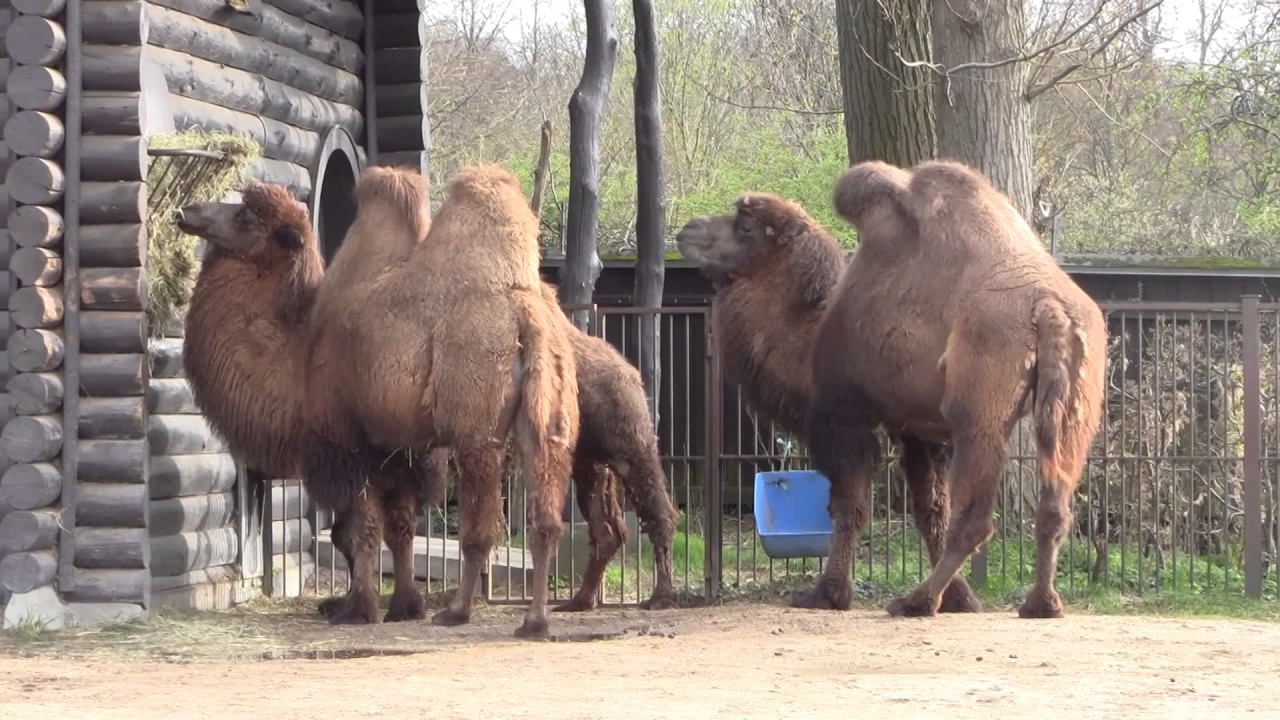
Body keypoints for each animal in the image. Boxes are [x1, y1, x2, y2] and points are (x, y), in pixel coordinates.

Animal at [177, 179, 447, 625]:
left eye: (246, 217)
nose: (188, 210)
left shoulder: (339, 457)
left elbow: (352, 533)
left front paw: (355, 606)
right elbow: (362, 532)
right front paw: (384, 604)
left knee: (374, 528)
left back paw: (360, 609)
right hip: (414, 457)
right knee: (402, 525)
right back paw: (404, 607)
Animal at [301, 164, 580, 638]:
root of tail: (525, 314)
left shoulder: (354, 433)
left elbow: (361, 525)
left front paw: (357, 608)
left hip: (475, 429)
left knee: (478, 529)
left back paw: (457, 611)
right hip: (547, 423)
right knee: (544, 518)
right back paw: (535, 621)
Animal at [676, 191, 982, 614]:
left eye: (747, 227)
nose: (688, 229)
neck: (806, 337)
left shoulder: (842, 425)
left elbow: (847, 508)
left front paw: (826, 593)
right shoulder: (918, 433)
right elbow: (932, 510)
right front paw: (956, 597)